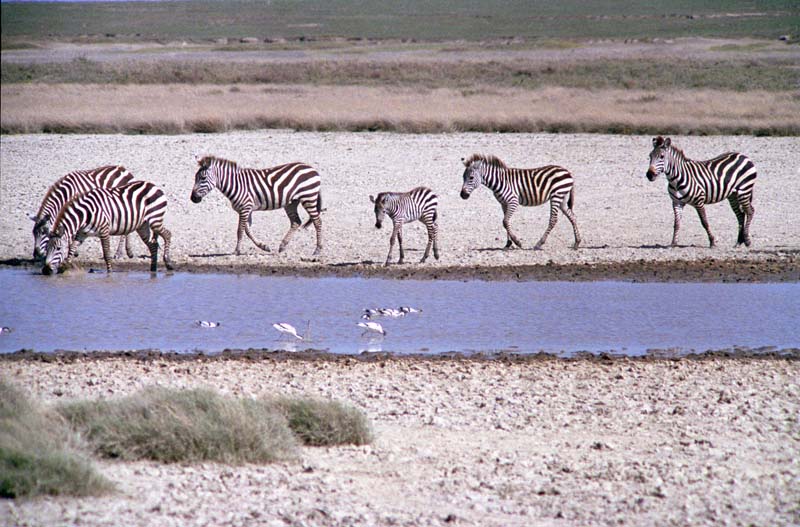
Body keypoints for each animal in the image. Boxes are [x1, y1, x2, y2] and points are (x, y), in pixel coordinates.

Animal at [42, 180, 173, 274]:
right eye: (47, 248)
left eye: (58, 248)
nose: (45, 270)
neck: (85, 215)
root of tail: (154, 186)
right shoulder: (82, 234)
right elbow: (72, 248)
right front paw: (64, 267)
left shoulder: (104, 231)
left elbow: (106, 254)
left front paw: (109, 272)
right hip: (142, 226)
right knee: (153, 245)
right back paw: (153, 269)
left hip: (155, 220)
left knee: (167, 234)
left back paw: (168, 263)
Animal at [190, 156, 322, 256]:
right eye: (195, 177)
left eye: (203, 178)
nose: (193, 199)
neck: (236, 184)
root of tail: (312, 168)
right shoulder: (245, 210)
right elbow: (247, 230)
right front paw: (264, 246)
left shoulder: (245, 208)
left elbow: (240, 230)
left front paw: (236, 251)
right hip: (291, 202)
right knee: (296, 222)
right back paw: (282, 246)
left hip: (308, 197)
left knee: (317, 221)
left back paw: (317, 250)